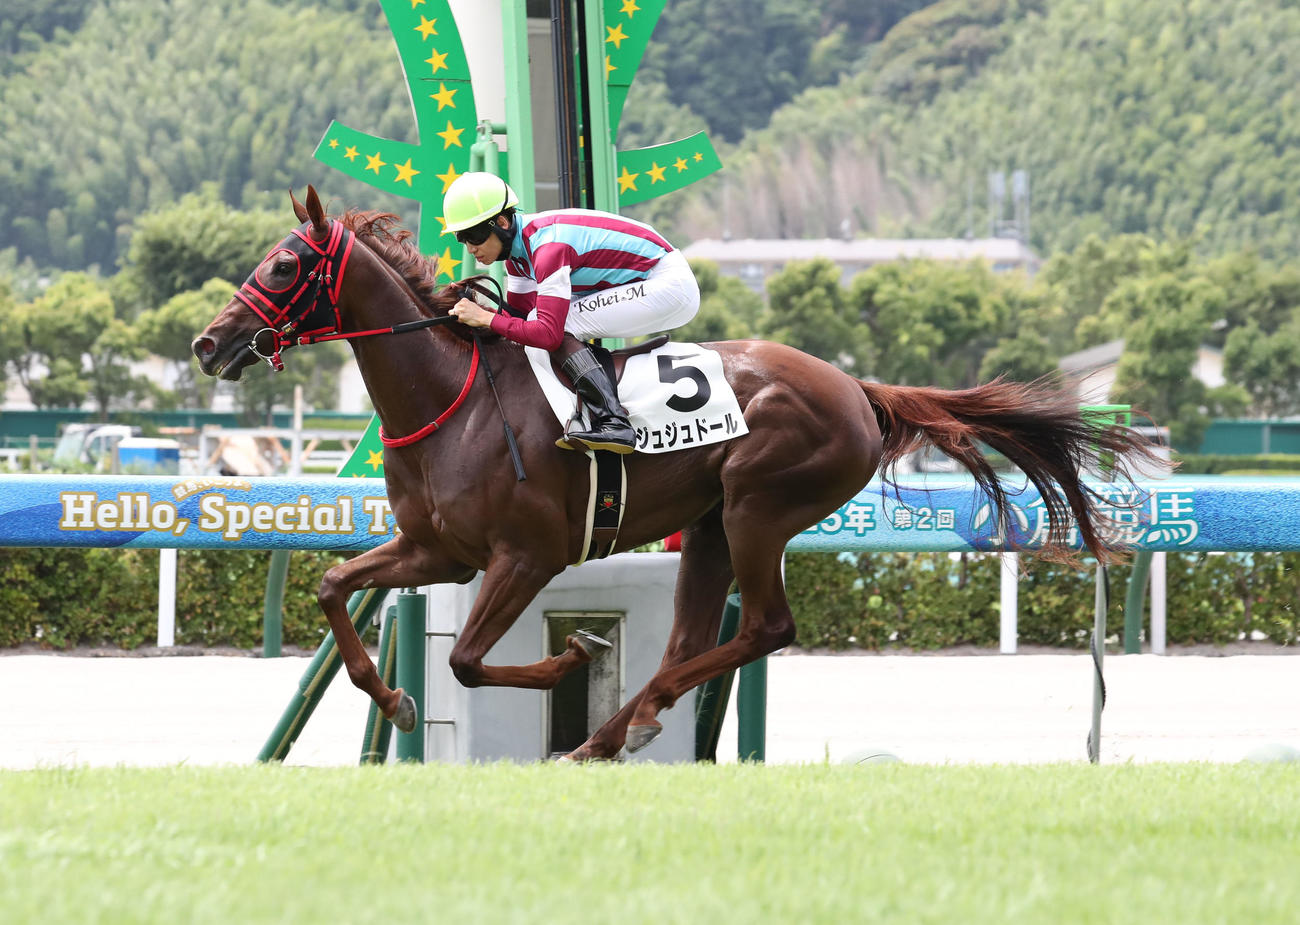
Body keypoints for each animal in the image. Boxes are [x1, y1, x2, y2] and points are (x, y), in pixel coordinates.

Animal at [192, 186, 1155, 761]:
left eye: (285, 264)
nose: (208, 343)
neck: (451, 400)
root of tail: (856, 386)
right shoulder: (438, 549)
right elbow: (332, 584)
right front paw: (392, 699)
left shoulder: (527, 554)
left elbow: (466, 660)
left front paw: (567, 658)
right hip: (710, 524)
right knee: (692, 636)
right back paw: (614, 730)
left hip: (759, 508)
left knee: (764, 626)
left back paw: (621, 719)